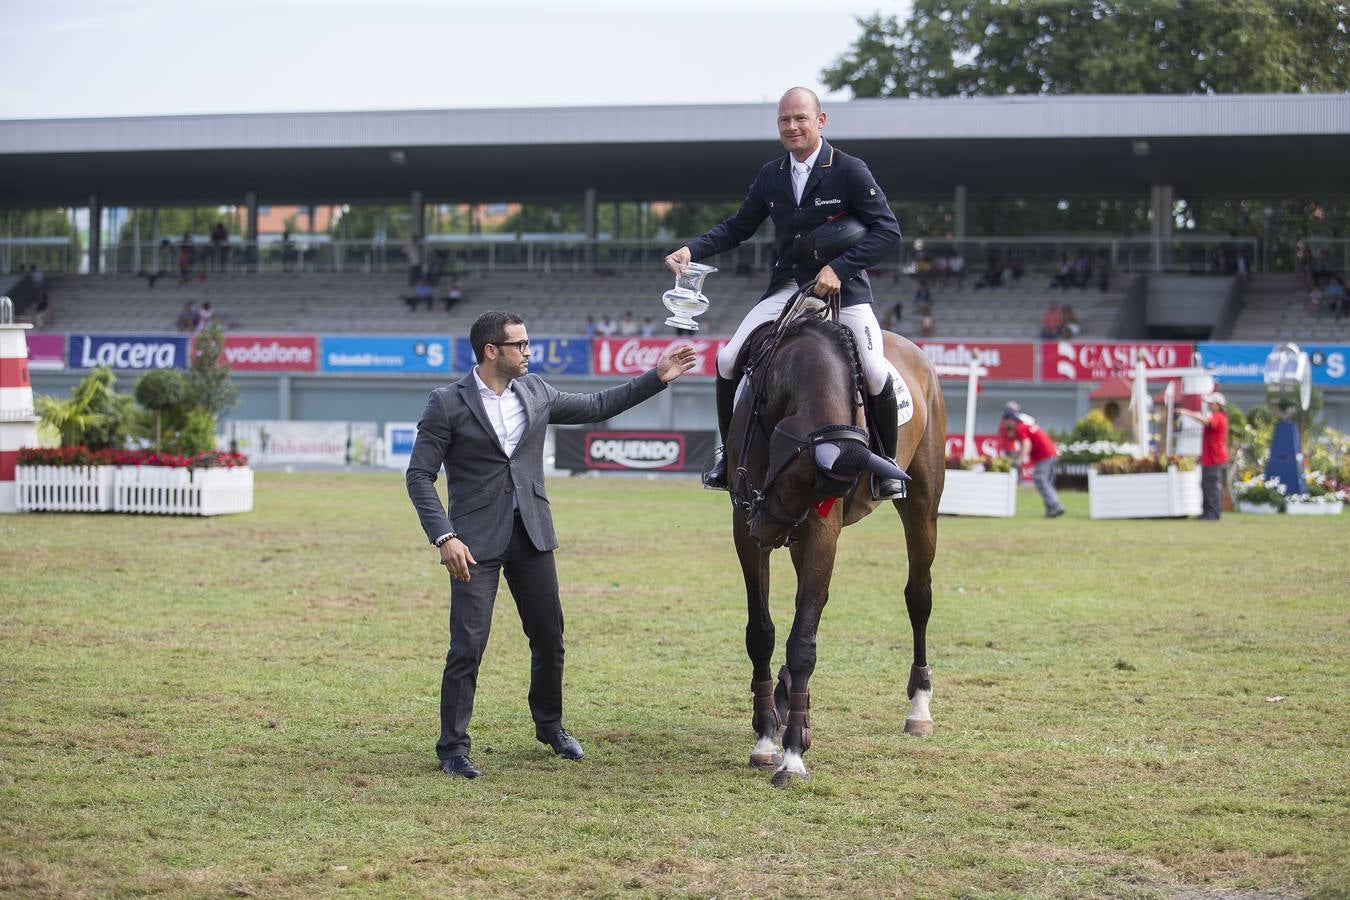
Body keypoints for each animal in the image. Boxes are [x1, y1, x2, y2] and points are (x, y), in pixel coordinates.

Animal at [729, 299, 950, 782]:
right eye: (792, 475)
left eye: (820, 492)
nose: (766, 532)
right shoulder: (742, 520)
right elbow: (762, 631)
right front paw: (767, 733)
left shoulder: (819, 528)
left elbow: (803, 641)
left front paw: (792, 753)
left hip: (921, 505)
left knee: (918, 596)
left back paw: (919, 707)